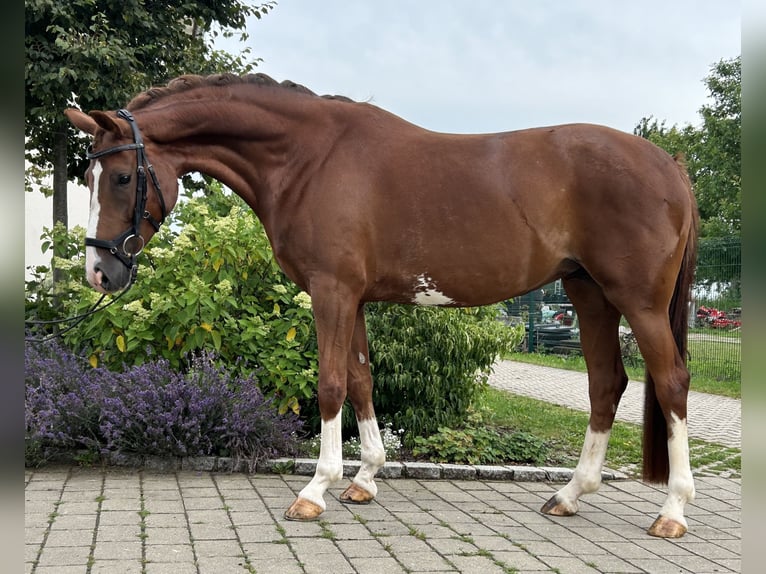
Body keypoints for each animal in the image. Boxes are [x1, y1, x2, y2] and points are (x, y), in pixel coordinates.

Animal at [67, 73, 704, 540]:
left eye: (120, 177)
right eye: (89, 176)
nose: (99, 272)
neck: (308, 159)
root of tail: (668, 164)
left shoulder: (331, 291)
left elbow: (329, 384)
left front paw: (314, 490)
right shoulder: (354, 298)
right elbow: (361, 380)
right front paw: (364, 480)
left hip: (638, 301)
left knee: (670, 381)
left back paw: (673, 511)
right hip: (587, 292)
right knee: (606, 383)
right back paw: (570, 495)